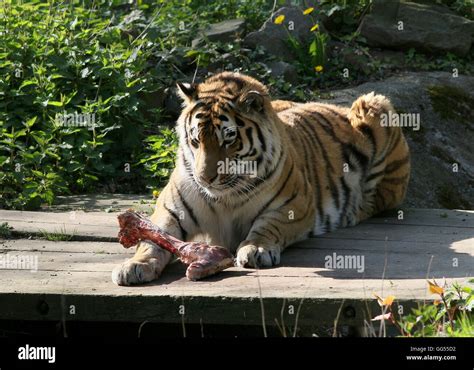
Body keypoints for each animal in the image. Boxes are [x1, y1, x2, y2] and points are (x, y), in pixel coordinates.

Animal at [112, 72, 412, 286]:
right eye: (196, 140)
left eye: (228, 140)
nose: (205, 178)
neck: (224, 198)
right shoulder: (171, 211)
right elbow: (152, 239)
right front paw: (134, 266)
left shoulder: (293, 206)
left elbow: (267, 225)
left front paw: (255, 248)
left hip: (375, 105)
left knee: (377, 200)